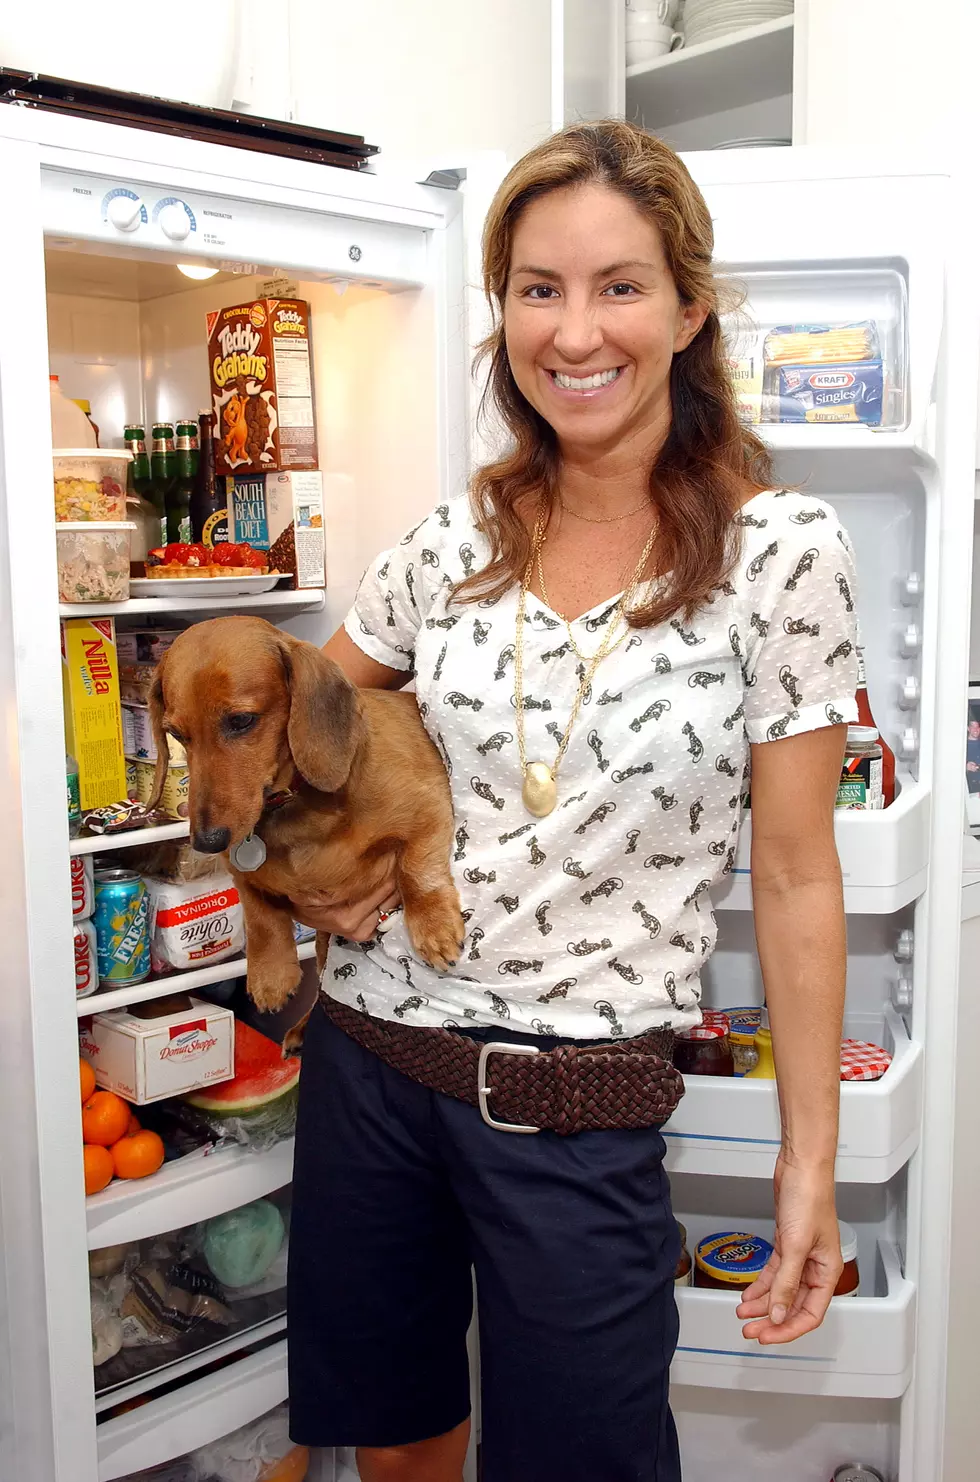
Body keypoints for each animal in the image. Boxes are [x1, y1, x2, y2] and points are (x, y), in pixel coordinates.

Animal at [147, 619, 465, 1025]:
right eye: (176, 734)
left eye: (241, 721)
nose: (207, 842)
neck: (294, 802)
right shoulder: (241, 872)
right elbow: (261, 917)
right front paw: (270, 975)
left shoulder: (429, 806)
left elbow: (417, 871)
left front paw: (434, 927)